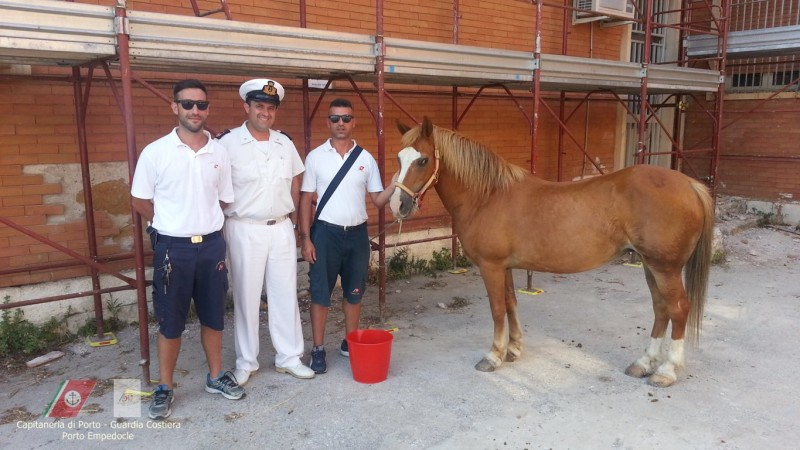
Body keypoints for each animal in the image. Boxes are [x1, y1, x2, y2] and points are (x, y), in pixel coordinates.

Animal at [392, 117, 712, 386]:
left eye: (422, 160)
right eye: (398, 158)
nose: (398, 205)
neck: (487, 196)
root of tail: (690, 185)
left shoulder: (491, 266)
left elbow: (497, 310)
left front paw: (493, 356)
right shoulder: (505, 266)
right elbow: (511, 304)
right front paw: (514, 349)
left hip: (665, 268)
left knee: (678, 310)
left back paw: (666, 371)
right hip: (650, 265)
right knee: (661, 309)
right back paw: (643, 363)